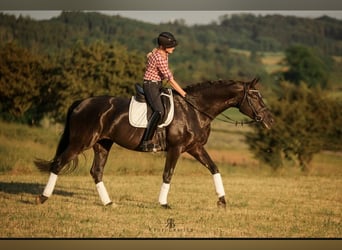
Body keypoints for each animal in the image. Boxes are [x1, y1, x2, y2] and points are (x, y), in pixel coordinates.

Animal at [34, 78, 274, 209]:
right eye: (256, 97)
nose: (270, 120)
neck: (195, 110)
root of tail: (81, 103)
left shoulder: (195, 148)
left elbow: (214, 169)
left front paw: (222, 201)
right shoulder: (176, 149)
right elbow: (168, 174)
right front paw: (163, 203)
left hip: (103, 143)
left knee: (96, 171)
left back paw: (108, 203)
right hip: (81, 141)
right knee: (58, 164)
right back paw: (42, 198)